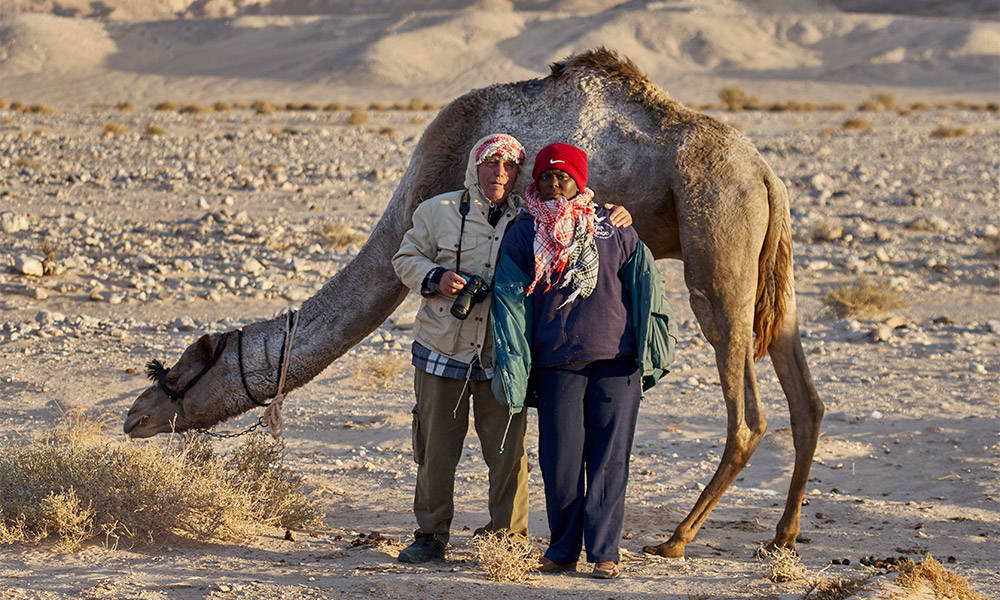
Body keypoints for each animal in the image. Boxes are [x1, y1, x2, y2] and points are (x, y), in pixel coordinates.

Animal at [125, 49, 820, 560]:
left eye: (181, 372)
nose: (134, 416)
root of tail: (767, 175)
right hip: (771, 267)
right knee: (804, 397)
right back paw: (781, 538)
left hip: (719, 247)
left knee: (748, 411)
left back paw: (675, 540)